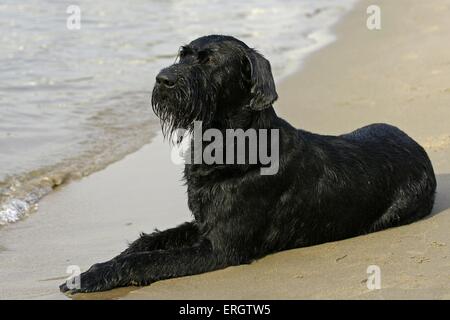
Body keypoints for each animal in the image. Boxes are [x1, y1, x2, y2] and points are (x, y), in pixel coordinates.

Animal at [59, 34, 436, 292]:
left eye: (210, 61)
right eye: (183, 54)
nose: (162, 79)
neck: (225, 143)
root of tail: (419, 147)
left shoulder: (219, 248)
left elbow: (148, 260)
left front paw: (90, 277)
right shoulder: (202, 222)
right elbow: (148, 242)